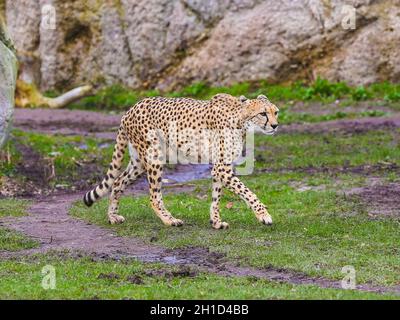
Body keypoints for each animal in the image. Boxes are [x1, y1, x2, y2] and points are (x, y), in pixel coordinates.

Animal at [84, 94, 278, 229]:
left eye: (275, 112)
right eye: (263, 113)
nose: (275, 125)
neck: (241, 119)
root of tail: (131, 109)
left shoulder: (220, 167)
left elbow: (217, 196)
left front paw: (216, 222)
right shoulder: (222, 168)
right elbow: (248, 192)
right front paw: (264, 215)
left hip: (139, 161)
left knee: (118, 181)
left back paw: (112, 216)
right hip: (154, 156)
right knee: (154, 196)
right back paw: (169, 220)